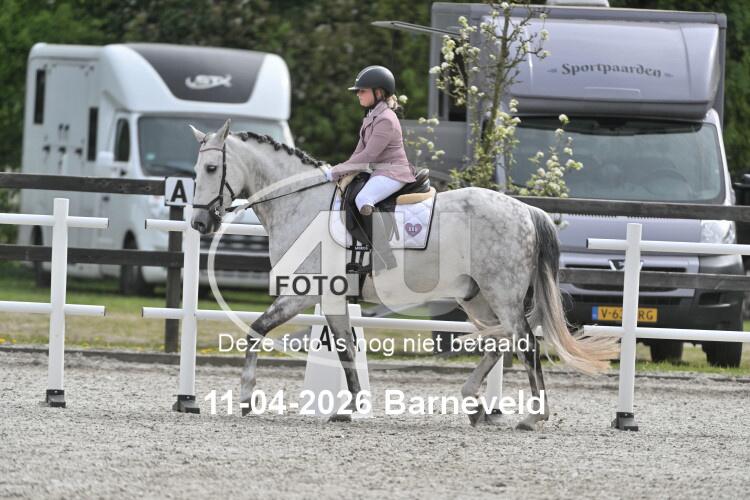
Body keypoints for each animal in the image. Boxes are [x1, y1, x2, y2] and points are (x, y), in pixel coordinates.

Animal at [189, 119, 619, 430]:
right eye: (195, 171)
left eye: (211, 168)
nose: (198, 223)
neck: (301, 205)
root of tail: (526, 210)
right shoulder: (327, 297)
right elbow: (339, 347)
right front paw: (349, 406)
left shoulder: (305, 292)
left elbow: (262, 331)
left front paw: (248, 397)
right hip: (477, 297)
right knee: (501, 341)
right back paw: (476, 404)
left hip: (502, 293)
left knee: (524, 341)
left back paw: (533, 416)